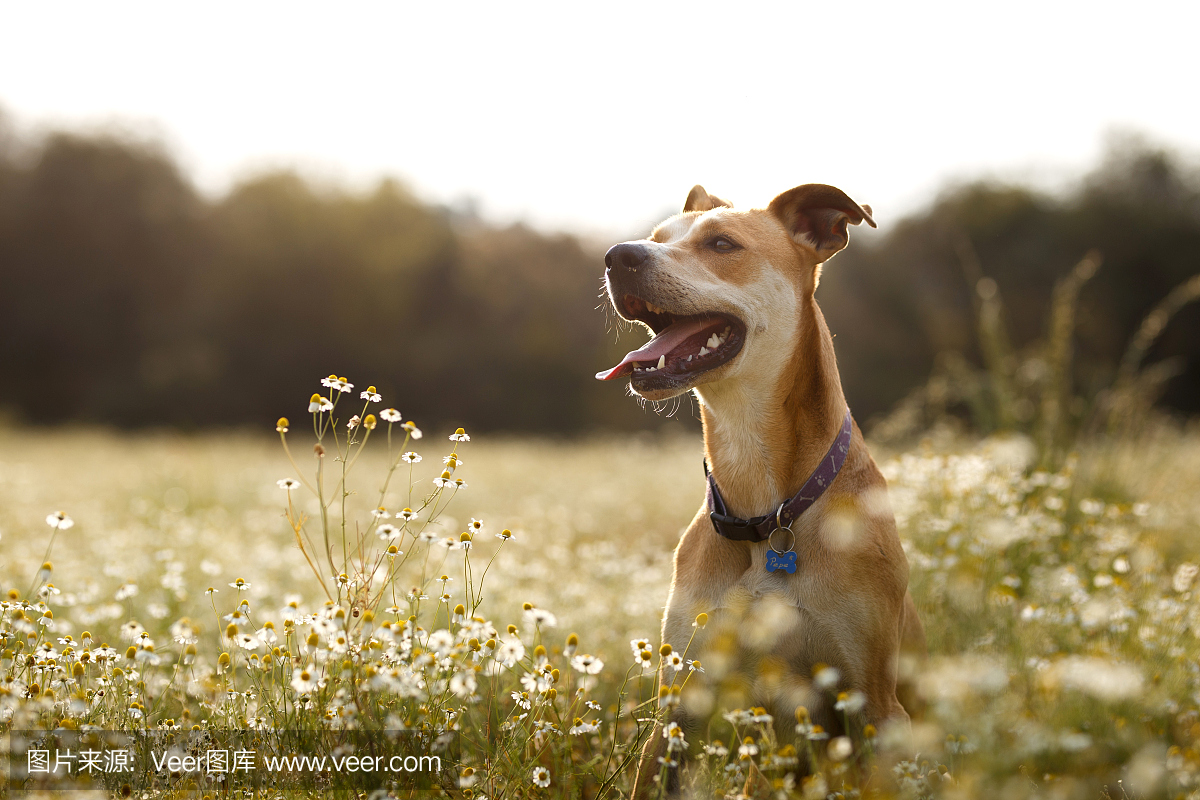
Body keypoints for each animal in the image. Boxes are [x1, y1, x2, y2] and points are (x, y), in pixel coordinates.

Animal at [600, 183, 926, 796]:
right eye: (656, 237)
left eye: (722, 244)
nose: (617, 256)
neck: (764, 512)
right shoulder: (679, 704)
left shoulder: (873, 703)